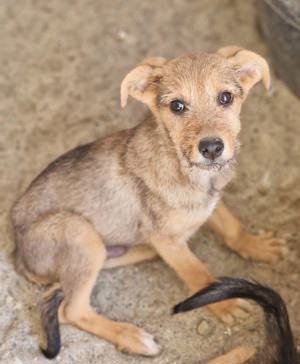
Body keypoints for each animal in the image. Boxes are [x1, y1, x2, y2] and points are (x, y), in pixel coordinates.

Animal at [10, 46, 284, 358]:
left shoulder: (209, 201)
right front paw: (223, 302)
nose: (212, 148)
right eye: (177, 106)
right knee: (71, 310)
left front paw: (256, 246)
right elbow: (198, 272)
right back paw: (132, 337)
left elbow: (230, 226)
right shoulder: (167, 239)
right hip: (78, 231)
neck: (183, 166)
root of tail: (18, 254)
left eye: (225, 97)